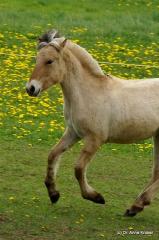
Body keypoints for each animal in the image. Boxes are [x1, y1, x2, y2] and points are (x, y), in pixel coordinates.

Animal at [26, 29, 159, 217]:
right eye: (36, 59)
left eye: (50, 61)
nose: (31, 88)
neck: (88, 93)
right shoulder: (73, 133)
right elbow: (52, 155)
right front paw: (53, 194)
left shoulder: (95, 139)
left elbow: (79, 168)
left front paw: (96, 197)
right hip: (158, 136)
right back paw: (135, 206)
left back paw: (137, 205)